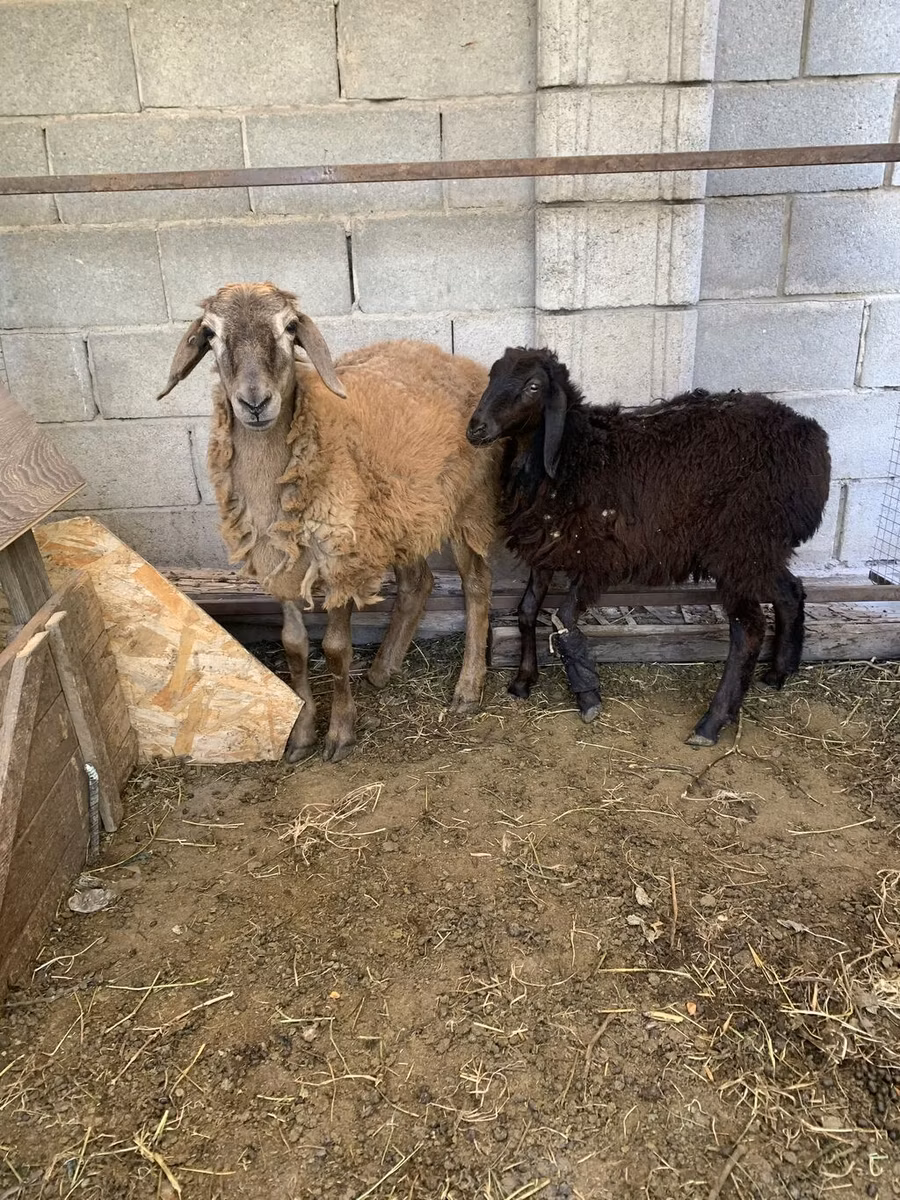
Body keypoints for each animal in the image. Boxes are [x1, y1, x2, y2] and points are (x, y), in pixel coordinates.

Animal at [158, 282, 499, 763]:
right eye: (209, 333)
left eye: (289, 327)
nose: (255, 402)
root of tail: (454, 360)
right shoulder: (278, 559)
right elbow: (294, 646)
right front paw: (301, 735)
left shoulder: (340, 555)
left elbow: (335, 649)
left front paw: (340, 734)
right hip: (399, 510)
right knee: (419, 582)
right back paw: (383, 669)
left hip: (469, 502)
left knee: (476, 585)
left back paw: (468, 687)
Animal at [466, 347, 831, 746]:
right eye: (492, 376)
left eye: (533, 386)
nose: (475, 429)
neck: (573, 453)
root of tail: (812, 438)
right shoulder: (548, 545)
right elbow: (527, 611)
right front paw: (522, 680)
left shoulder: (595, 556)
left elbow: (562, 619)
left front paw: (587, 694)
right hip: (760, 548)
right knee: (790, 591)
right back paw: (780, 672)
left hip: (740, 544)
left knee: (748, 629)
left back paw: (711, 723)